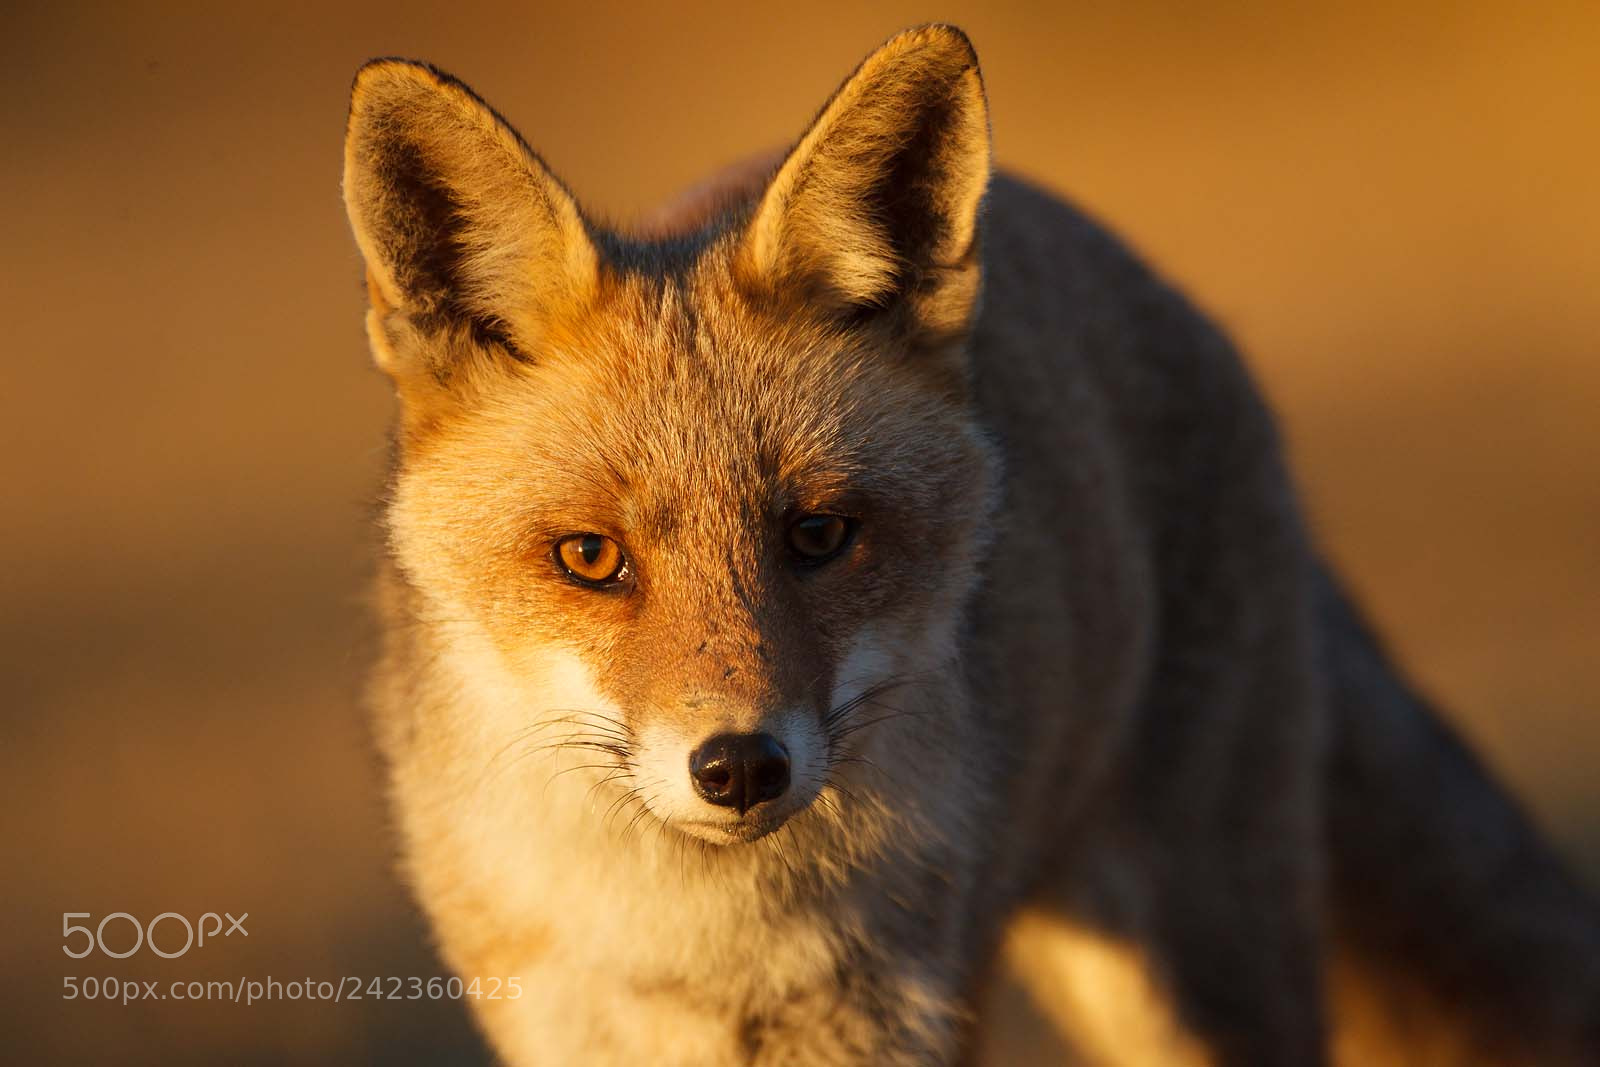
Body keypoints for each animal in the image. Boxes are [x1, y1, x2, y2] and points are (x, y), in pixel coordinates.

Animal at [340, 24, 1600, 1067]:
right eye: (591, 558)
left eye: (819, 533)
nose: (739, 766)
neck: (701, 938)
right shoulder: (567, 1023)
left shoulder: (894, 1014)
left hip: (1190, 971)